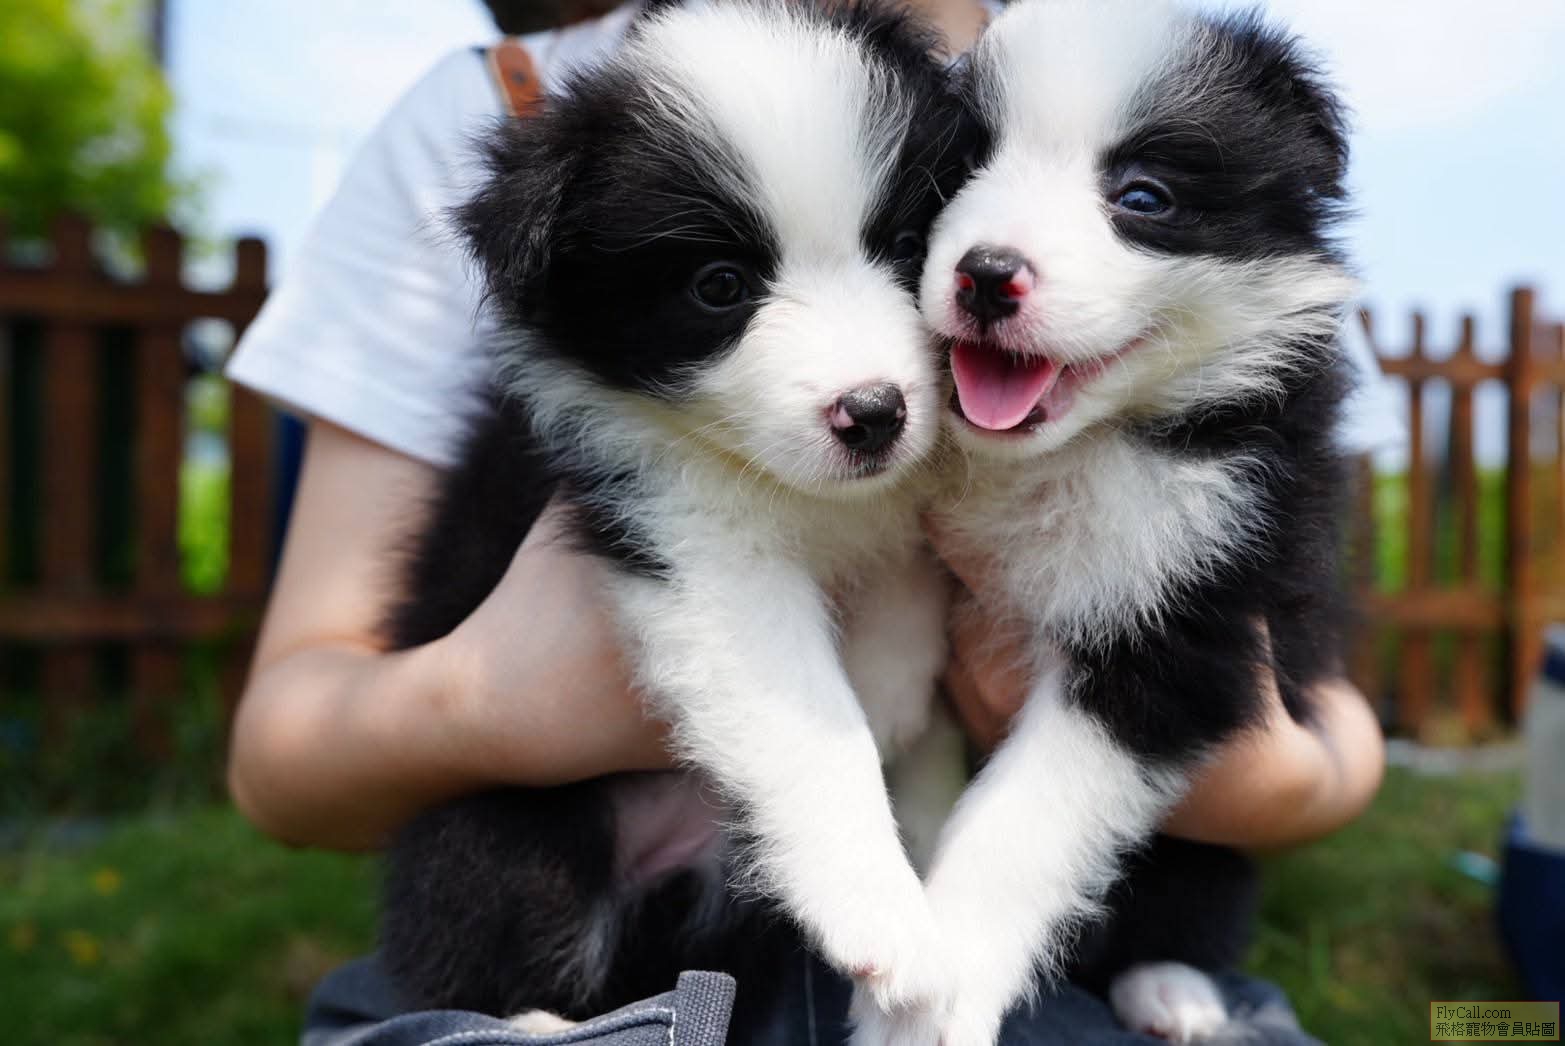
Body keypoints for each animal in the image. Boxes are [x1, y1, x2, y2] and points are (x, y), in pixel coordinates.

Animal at [853, 1, 1359, 1043]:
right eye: (961, 171)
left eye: (1142, 197)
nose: (986, 274)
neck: (1067, 452)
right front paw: (885, 674)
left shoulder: (1187, 617)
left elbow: (1020, 823)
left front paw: (935, 1002)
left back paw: (1173, 989)